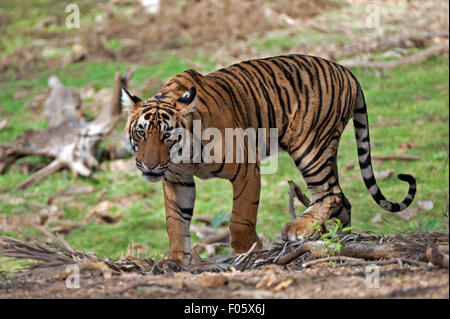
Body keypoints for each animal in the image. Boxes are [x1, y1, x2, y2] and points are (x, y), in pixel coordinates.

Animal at [121, 54, 416, 264]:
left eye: (167, 136)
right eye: (141, 133)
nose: (148, 165)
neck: (185, 155)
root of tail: (346, 70)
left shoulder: (246, 169)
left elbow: (240, 216)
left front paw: (245, 249)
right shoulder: (177, 179)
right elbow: (175, 219)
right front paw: (177, 257)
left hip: (310, 146)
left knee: (330, 193)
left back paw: (300, 229)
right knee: (341, 199)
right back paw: (331, 234)